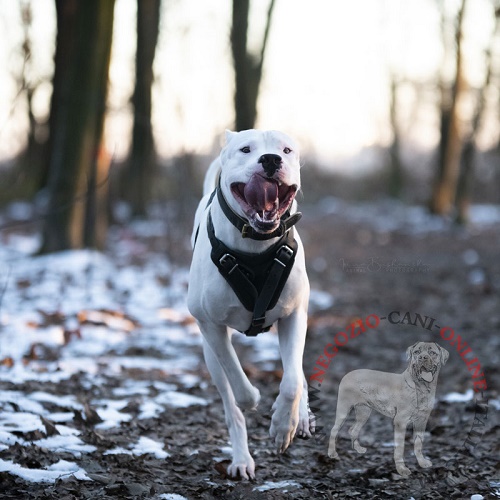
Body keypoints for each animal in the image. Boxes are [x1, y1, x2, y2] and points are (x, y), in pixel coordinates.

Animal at [188, 130, 312, 480]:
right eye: (245, 149)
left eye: (287, 149)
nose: (271, 159)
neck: (256, 244)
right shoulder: (210, 325)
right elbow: (236, 378)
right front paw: (254, 399)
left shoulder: (295, 314)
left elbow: (292, 380)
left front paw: (284, 424)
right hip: (209, 353)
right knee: (230, 400)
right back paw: (242, 458)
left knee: (297, 370)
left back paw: (302, 417)